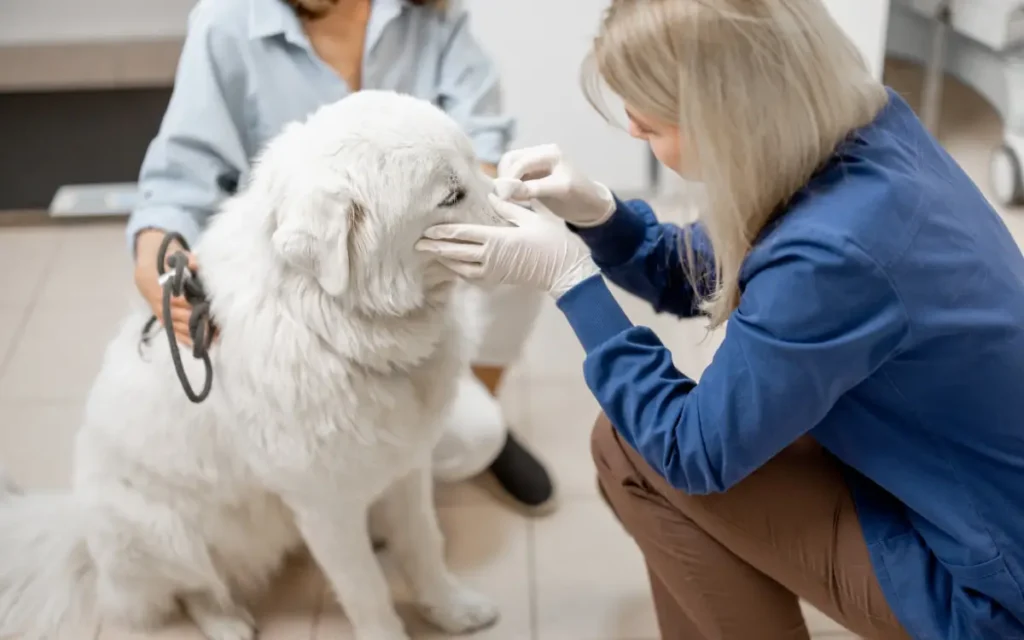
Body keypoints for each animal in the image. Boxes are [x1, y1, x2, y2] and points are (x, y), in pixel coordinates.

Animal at [0, 90, 507, 638]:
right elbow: (368, 592)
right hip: (166, 534)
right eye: (451, 195)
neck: (332, 324)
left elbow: (425, 547)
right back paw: (226, 621)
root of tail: (79, 533)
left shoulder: (408, 468)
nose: (535, 211)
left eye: (474, 164)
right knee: (194, 589)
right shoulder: (325, 509)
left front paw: (452, 609)